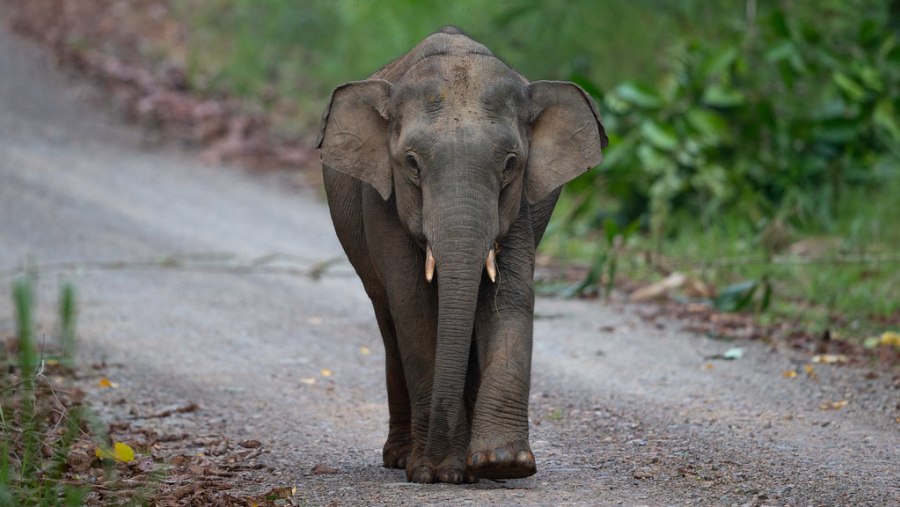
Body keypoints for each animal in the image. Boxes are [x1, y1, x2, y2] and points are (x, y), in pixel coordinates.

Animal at [320, 26, 608, 484]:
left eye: (510, 163)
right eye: (411, 163)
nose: (436, 466)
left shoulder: (520, 206)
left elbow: (509, 297)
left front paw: (502, 463)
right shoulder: (381, 203)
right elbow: (413, 304)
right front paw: (434, 471)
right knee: (388, 319)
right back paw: (401, 457)